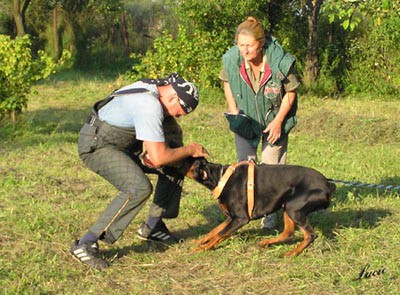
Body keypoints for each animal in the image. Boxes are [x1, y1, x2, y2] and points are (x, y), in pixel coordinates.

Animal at [180, 158, 334, 258]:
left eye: (187, 160)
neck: (220, 177)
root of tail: (328, 185)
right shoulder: (231, 217)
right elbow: (214, 231)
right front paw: (199, 241)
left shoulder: (240, 218)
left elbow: (220, 234)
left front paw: (202, 248)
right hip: (288, 206)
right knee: (288, 233)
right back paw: (267, 242)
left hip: (293, 208)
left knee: (310, 234)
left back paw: (292, 253)